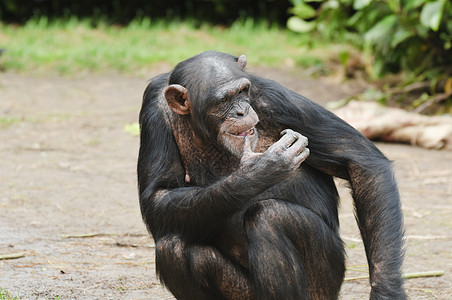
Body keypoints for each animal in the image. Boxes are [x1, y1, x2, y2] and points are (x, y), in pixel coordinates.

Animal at [137, 50, 406, 298]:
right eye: (223, 100)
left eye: (243, 91)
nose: (242, 111)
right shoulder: (153, 109)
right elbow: (159, 195)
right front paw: (258, 172)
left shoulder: (277, 99)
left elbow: (360, 160)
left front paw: (386, 292)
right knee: (172, 248)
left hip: (324, 285)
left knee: (270, 217)